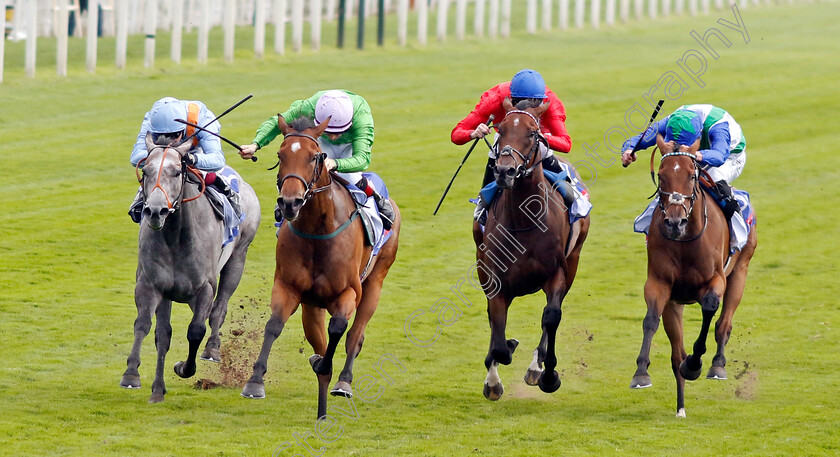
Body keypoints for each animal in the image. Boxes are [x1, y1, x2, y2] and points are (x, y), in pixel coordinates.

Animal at [120, 133, 260, 402]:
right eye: (146, 170)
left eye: (177, 172)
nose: (155, 211)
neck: (176, 237)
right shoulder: (151, 285)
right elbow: (148, 327)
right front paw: (134, 376)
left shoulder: (204, 288)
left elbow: (196, 329)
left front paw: (184, 367)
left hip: (238, 257)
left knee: (219, 308)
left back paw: (212, 349)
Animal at [241, 116, 402, 418]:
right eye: (280, 155)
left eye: (314, 157)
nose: (290, 202)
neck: (317, 231)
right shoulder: (289, 288)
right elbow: (274, 326)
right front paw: (255, 382)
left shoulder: (348, 292)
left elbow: (338, 328)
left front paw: (328, 369)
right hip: (312, 305)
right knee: (320, 338)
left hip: (375, 281)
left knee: (355, 335)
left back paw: (343, 381)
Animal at [472, 99, 592, 400]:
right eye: (500, 129)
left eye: (532, 133)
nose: (505, 171)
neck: (524, 220)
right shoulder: (495, 278)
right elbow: (498, 333)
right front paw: (494, 377)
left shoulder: (558, 272)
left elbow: (551, 317)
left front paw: (547, 374)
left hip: (574, 261)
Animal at [628, 138, 756, 416]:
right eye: (662, 176)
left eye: (691, 175)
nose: (675, 222)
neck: (685, 241)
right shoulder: (659, 284)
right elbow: (650, 320)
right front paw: (641, 373)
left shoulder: (716, 280)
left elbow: (709, 308)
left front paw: (695, 364)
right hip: (675, 303)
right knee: (677, 353)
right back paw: (681, 406)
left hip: (740, 271)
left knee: (724, 323)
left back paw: (717, 365)